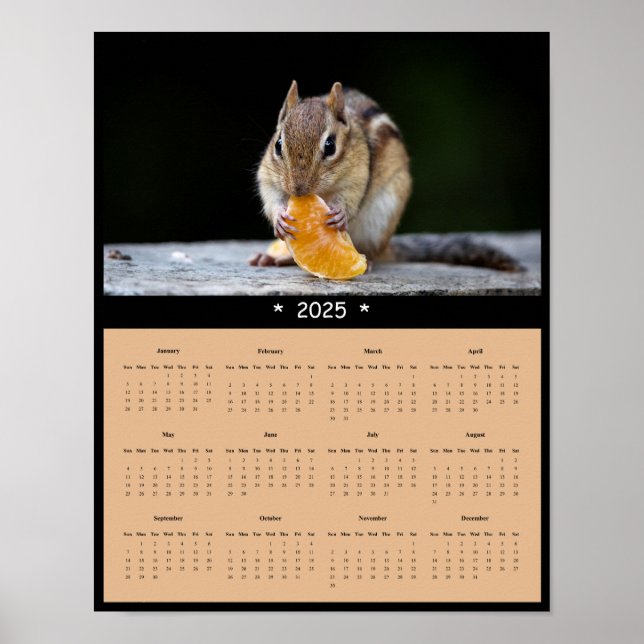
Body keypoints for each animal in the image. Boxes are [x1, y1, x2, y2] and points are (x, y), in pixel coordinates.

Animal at [250, 81, 522, 272]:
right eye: (278, 145)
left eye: (330, 146)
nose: (298, 190)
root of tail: (385, 246)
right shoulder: (268, 173)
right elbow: (270, 193)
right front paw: (279, 218)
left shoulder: (359, 174)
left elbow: (351, 196)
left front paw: (340, 212)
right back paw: (277, 258)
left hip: (379, 220)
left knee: (369, 251)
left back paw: (367, 262)